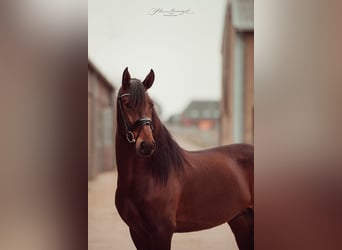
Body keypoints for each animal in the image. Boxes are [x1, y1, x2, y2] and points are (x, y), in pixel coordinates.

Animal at [115, 67, 254, 250]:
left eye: (151, 104)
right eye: (126, 104)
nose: (147, 145)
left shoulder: (162, 231)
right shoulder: (137, 232)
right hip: (241, 221)